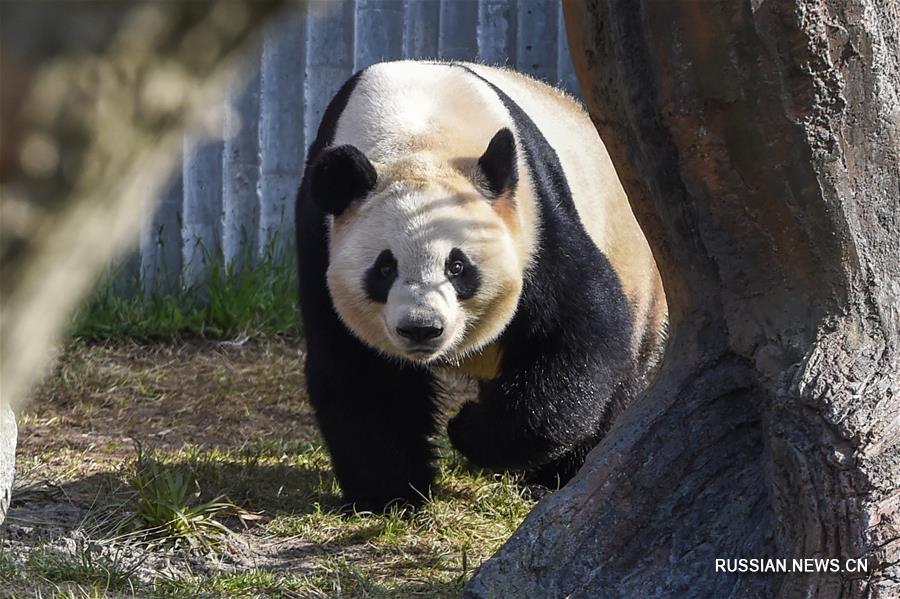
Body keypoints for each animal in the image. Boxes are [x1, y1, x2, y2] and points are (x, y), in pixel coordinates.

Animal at [296, 59, 668, 510]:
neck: (417, 135)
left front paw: (467, 428)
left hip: (635, 260)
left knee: (624, 371)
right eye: (384, 268)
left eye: (457, 266)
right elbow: (361, 371)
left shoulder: (536, 221)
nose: (422, 328)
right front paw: (391, 493)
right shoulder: (320, 238)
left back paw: (558, 474)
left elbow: (580, 331)